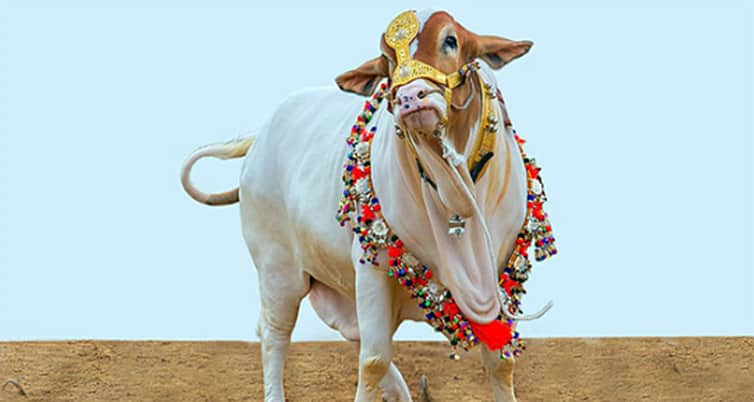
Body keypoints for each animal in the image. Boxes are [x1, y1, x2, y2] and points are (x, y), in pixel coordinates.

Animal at [181, 9, 548, 402]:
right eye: (387, 60)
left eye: (450, 40)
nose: (411, 97)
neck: (455, 191)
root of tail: (260, 137)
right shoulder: (371, 268)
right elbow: (372, 362)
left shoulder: (504, 273)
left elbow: (500, 362)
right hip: (278, 269)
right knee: (275, 334)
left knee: (355, 336)